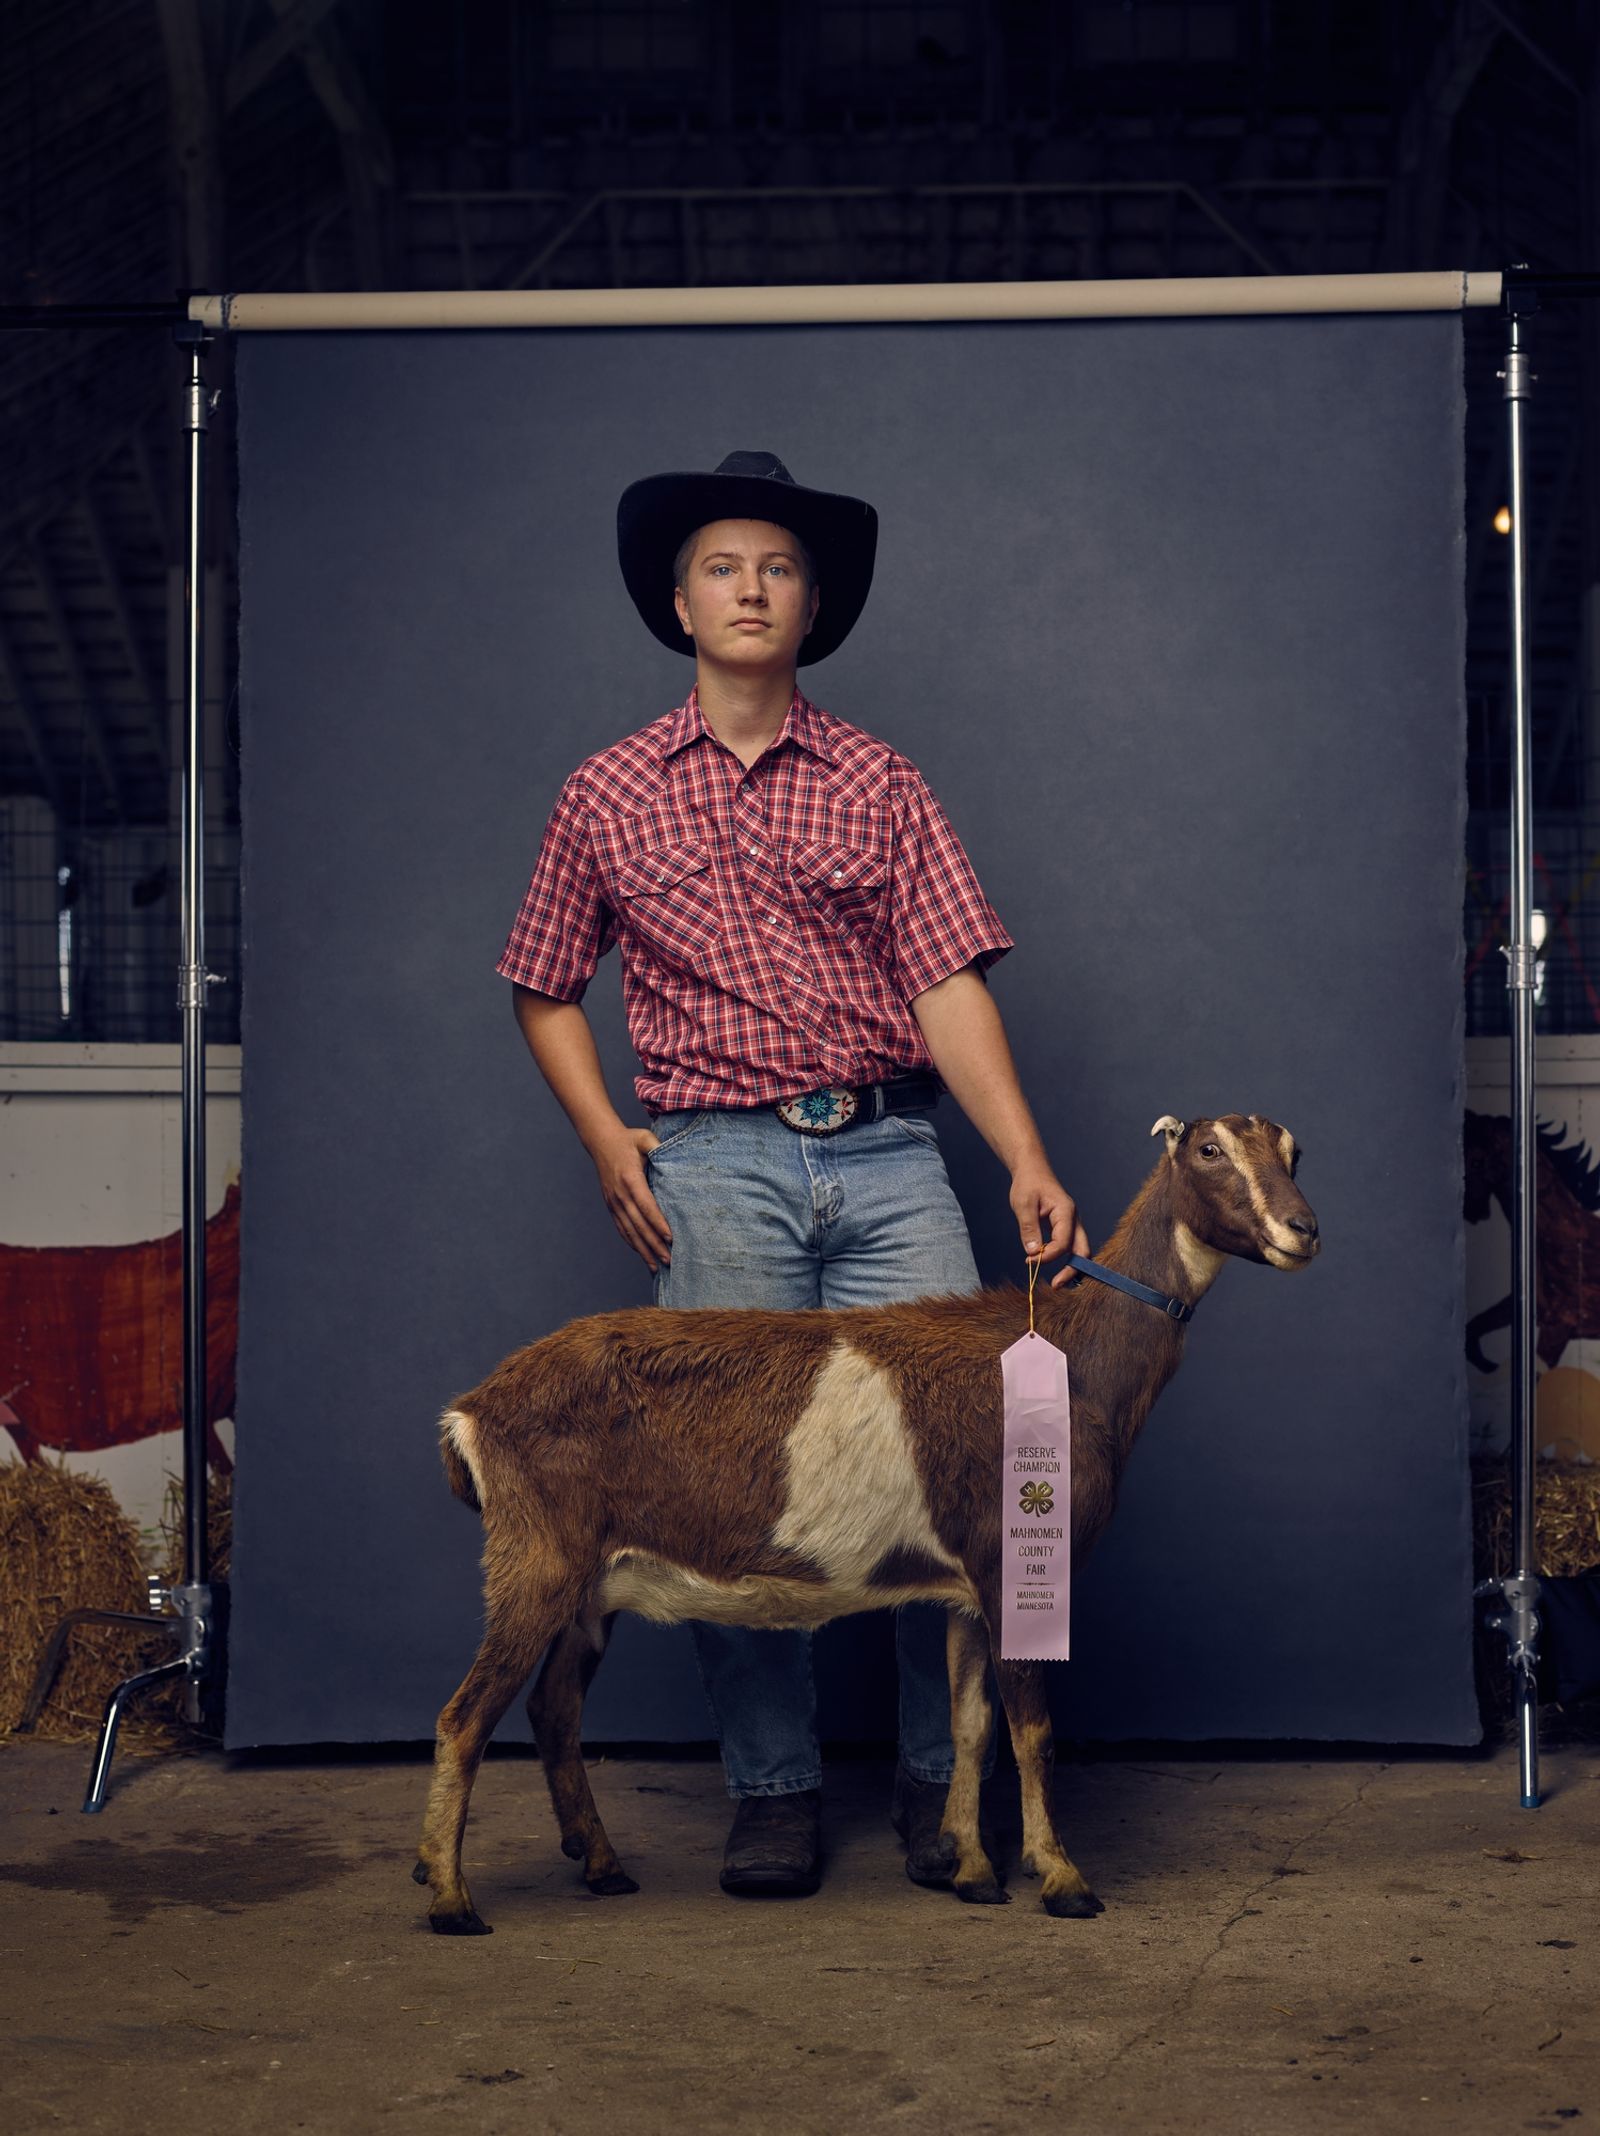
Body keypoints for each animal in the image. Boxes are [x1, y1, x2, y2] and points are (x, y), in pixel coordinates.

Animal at [412, 1110, 1307, 1930]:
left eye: (1295, 1152)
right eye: (1209, 1150)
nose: (1303, 1230)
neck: (1073, 1358)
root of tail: (471, 1411)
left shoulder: (965, 1584)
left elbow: (970, 1724)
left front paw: (969, 1868)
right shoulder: (1009, 1563)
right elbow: (1032, 1730)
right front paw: (1061, 1878)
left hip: (589, 1586)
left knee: (553, 1709)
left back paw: (600, 1867)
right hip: (536, 1558)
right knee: (465, 1716)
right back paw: (451, 1897)